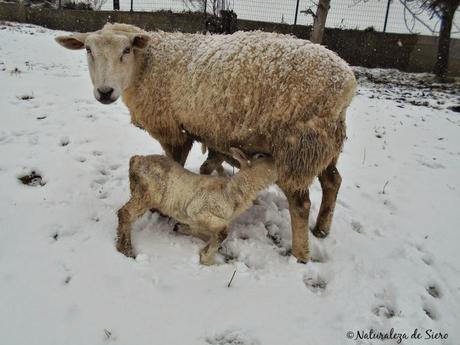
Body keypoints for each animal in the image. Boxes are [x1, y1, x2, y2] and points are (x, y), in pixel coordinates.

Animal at [117, 148, 276, 264]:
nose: (275, 159)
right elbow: (223, 232)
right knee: (125, 213)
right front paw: (207, 259)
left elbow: (206, 233)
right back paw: (125, 250)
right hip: (147, 194)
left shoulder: (197, 221)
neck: (232, 191)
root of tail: (137, 159)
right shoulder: (199, 212)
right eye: (260, 156)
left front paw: (181, 228)